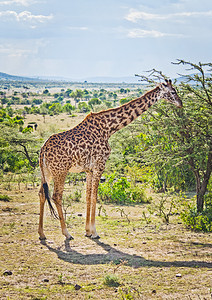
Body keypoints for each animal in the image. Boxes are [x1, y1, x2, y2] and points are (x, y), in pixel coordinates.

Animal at [38, 79, 182, 239]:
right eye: (173, 91)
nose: (180, 103)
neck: (109, 128)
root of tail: (43, 150)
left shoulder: (89, 169)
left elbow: (88, 196)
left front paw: (87, 231)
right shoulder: (100, 165)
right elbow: (95, 196)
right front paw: (94, 232)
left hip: (47, 172)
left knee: (42, 194)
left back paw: (42, 233)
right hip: (60, 171)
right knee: (56, 196)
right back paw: (66, 233)